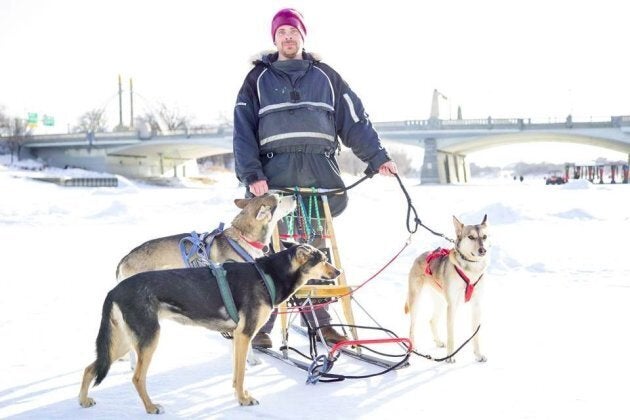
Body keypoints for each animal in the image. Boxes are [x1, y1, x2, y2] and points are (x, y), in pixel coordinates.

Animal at [81, 243, 344, 414]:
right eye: (322, 259)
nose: (338, 271)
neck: (267, 276)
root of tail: (114, 290)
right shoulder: (244, 335)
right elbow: (241, 373)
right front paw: (243, 399)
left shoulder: (238, 338)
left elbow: (237, 373)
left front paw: (240, 396)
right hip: (148, 339)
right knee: (136, 378)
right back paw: (151, 407)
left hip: (125, 342)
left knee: (90, 368)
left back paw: (83, 401)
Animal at [408, 215, 492, 362]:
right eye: (471, 237)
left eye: (485, 236)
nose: (483, 250)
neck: (471, 270)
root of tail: (419, 256)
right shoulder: (452, 306)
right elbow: (451, 334)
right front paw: (450, 356)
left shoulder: (476, 306)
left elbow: (475, 334)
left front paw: (478, 354)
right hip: (416, 301)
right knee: (412, 326)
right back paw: (414, 347)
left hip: (440, 301)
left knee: (432, 320)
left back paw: (438, 341)